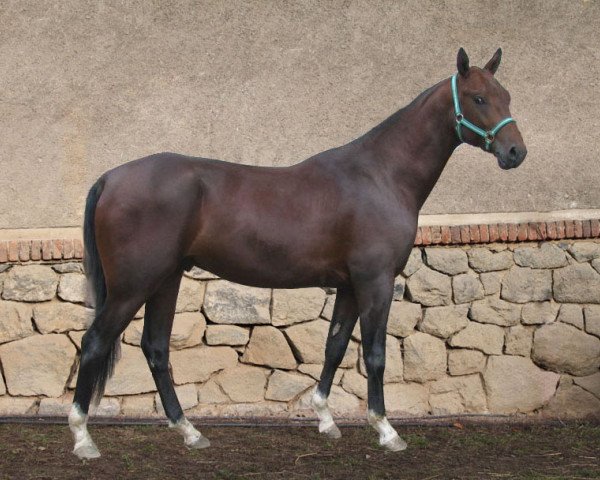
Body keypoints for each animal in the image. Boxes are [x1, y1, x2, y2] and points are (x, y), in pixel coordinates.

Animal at [68, 47, 524, 458]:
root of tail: (110, 179)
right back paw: (83, 439)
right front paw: (386, 430)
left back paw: (190, 432)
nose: (516, 152)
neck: (381, 175)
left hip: (166, 278)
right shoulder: (375, 282)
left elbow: (335, 347)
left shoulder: (350, 286)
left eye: (506, 95)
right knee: (94, 342)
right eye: (478, 98)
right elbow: (374, 353)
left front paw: (325, 419)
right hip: (133, 286)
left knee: (156, 348)